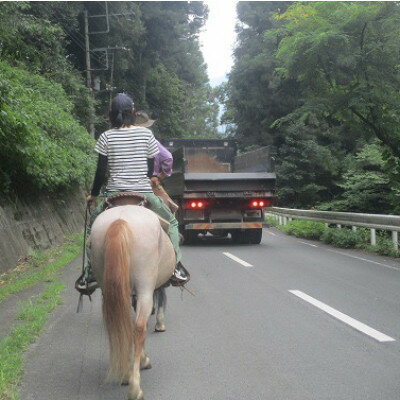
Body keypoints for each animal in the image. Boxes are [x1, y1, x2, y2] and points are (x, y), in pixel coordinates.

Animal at [90, 205, 175, 398]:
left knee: (123, 326)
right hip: (145, 287)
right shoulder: (151, 288)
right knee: (139, 327)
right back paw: (135, 387)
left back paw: (125, 374)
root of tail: (120, 219)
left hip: (110, 286)